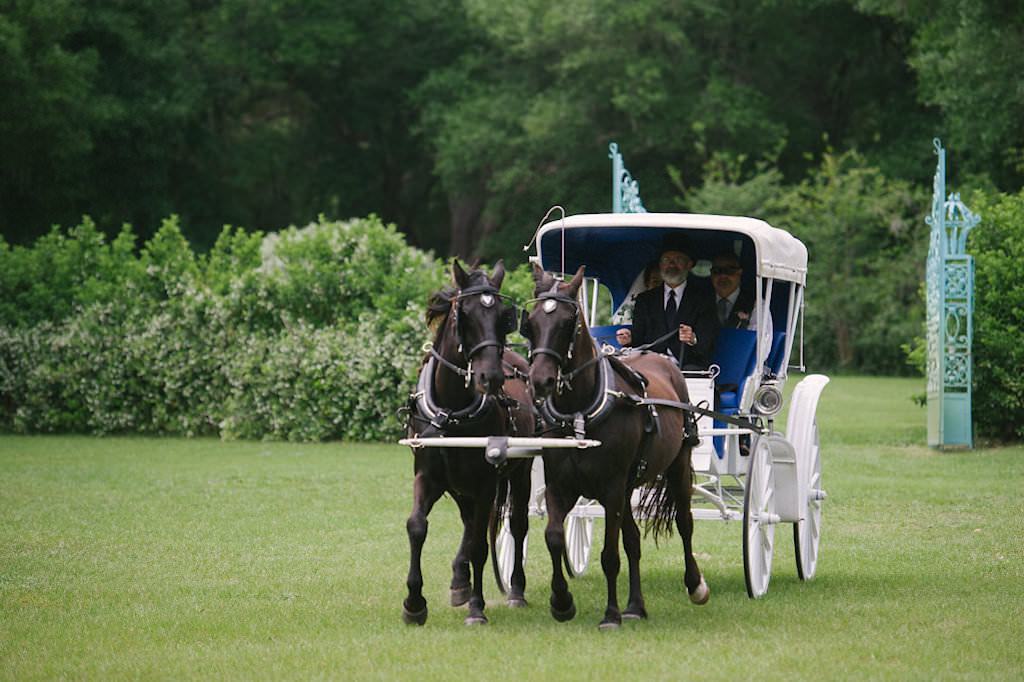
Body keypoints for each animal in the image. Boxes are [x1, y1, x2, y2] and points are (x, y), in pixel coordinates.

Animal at [401, 259, 536, 622]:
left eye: (503, 316)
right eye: (465, 315)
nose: (491, 376)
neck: (451, 410)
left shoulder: (486, 481)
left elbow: (479, 543)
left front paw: (476, 608)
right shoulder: (429, 476)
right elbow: (417, 526)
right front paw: (414, 602)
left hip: (521, 472)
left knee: (516, 524)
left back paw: (515, 590)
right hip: (461, 486)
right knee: (469, 522)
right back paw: (460, 578)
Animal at [524, 262, 708, 630]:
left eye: (567, 322)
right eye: (531, 321)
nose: (541, 380)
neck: (580, 414)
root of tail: (662, 358)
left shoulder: (610, 489)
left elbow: (610, 555)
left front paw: (610, 614)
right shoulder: (560, 487)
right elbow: (554, 537)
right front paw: (562, 601)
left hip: (677, 466)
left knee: (684, 522)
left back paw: (695, 584)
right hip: (627, 486)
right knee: (633, 540)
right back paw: (636, 605)